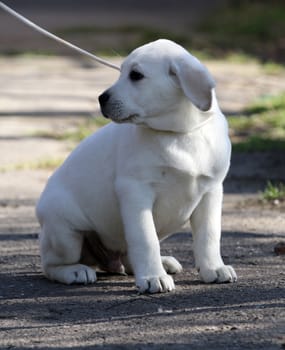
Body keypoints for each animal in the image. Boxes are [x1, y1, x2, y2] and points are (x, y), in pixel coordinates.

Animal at [35, 39, 236, 292]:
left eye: (136, 75)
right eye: (121, 72)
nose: (101, 98)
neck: (178, 133)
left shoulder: (211, 191)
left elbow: (209, 235)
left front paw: (213, 268)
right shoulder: (135, 191)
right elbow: (145, 238)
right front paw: (152, 277)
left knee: (129, 257)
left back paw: (161, 262)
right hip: (64, 232)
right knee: (50, 264)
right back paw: (75, 271)